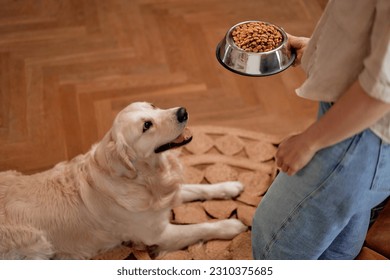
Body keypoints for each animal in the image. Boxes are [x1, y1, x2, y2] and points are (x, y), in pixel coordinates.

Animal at [0, 101, 247, 260]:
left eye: (153, 106)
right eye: (146, 126)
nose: (182, 112)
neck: (142, 178)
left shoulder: (167, 194)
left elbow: (196, 189)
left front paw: (229, 186)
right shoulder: (158, 235)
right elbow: (199, 228)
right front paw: (231, 225)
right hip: (37, 244)